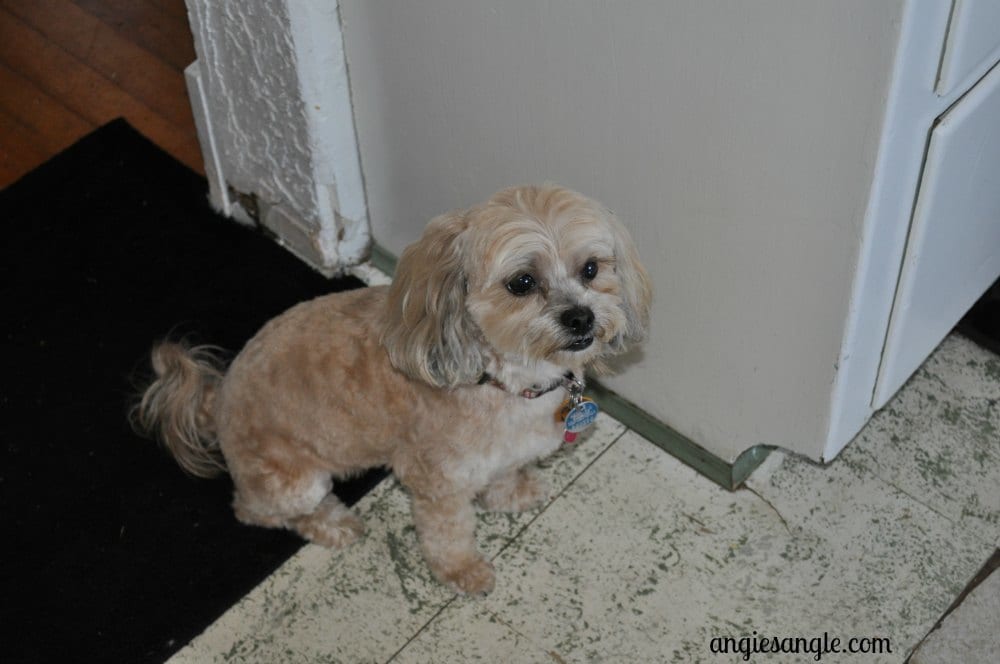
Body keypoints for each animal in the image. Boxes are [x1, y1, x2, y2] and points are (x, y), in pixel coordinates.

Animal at [133, 184, 652, 592]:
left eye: (591, 269)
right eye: (522, 282)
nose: (581, 317)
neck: (501, 380)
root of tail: (217, 398)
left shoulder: (502, 453)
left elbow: (503, 472)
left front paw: (511, 493)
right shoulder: (436, 482)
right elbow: (447, 533)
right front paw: (463, 571)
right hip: (291, 481)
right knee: (257, 511)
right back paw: (334, 523)